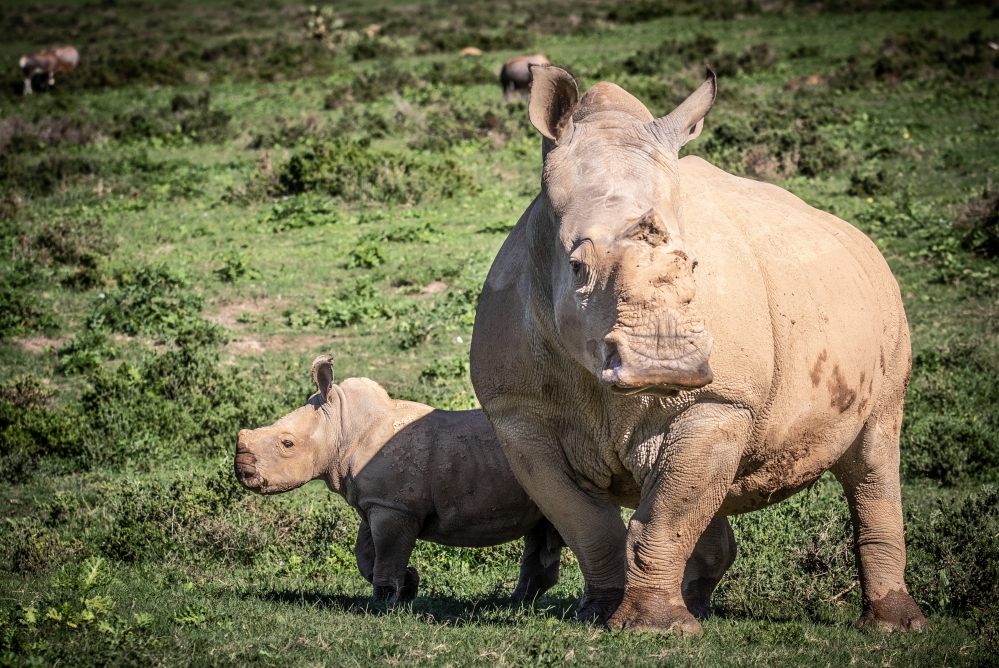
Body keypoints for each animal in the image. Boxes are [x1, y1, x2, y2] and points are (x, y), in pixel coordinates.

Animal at [235, 358, 564, 604]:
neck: (342, 426)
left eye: (287, 444)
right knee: (545, 527)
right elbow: (365, 554)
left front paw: (387, 602)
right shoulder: (376, 502)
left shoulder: (394, 506)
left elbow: (387, 553)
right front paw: (409, 584)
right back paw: (512, 605)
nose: (242, 471)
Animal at [470, 65, 928, 636]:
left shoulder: (720, 398)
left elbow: (665, 516)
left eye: (692, 265)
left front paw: (652, 628)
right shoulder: (518, 413)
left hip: (886, 307)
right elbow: (589, 523)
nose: (664, 362)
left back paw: (895, 626)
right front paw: (601, 615)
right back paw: (697, 606)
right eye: (576, 267)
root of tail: (858, 237)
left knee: (875, 452)